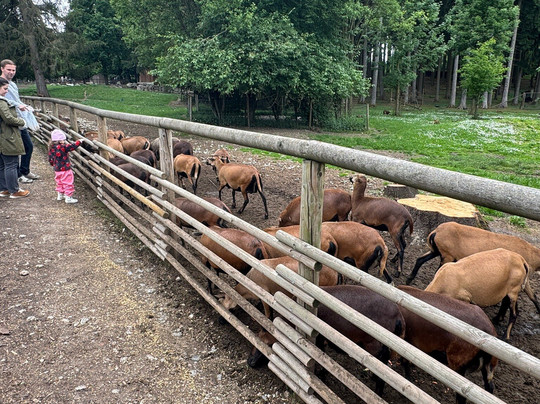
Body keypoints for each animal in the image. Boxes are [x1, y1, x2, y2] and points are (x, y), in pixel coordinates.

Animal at [407, 223, 540, 314]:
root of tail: (435, 232)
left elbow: (532, 296)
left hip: (437, 251)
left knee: (420, 260)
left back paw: (409, 279)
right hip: (446, 255)